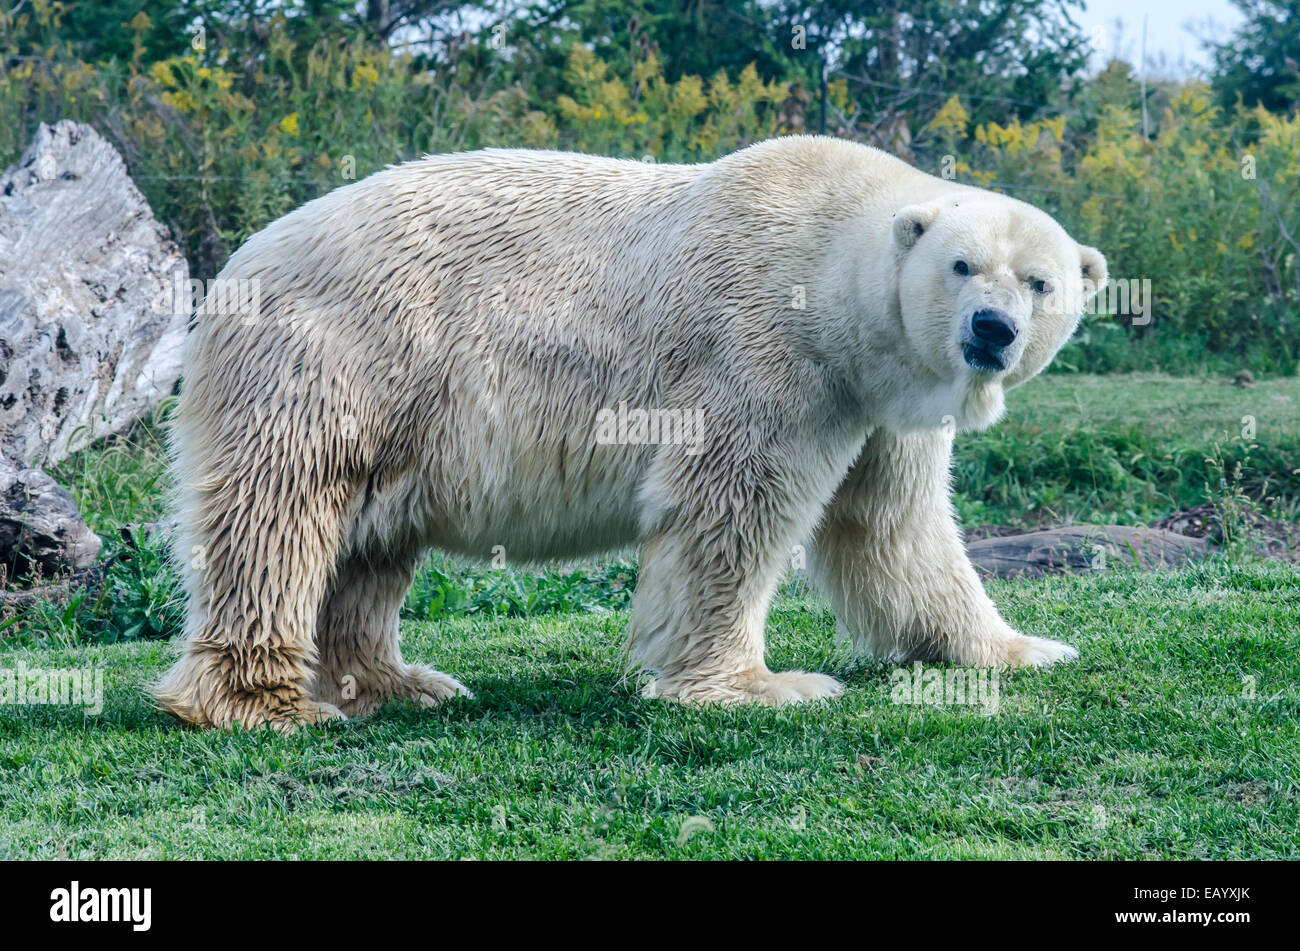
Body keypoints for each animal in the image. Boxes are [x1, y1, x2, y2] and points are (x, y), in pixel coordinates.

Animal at [152, 133, 1107, 727]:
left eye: (1040, 280)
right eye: (961, 265)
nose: (993, 329)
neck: (833, 267)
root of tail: (237, 261)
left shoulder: (878, 400)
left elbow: (895, 529)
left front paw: (1019, 648)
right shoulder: (767, 350)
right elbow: (731, 509)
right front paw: (763, 685)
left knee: (372, 543)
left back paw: (398, 683)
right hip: (340, 358)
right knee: (280, 517)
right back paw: (266, 703)